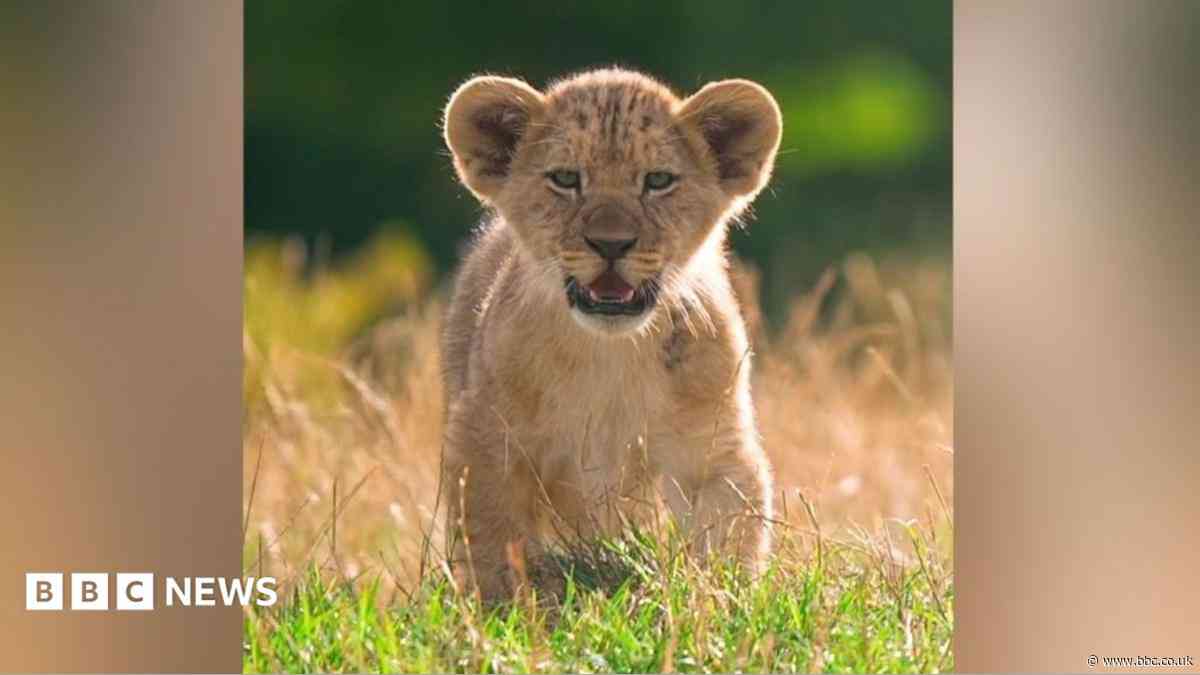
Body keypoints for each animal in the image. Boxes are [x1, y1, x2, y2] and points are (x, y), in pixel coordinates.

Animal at [440, 68, 781, 601]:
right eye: (565, 179)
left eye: (658, 181)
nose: (611, 244)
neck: (611, 353)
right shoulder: (483, 440)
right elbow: (495, 544)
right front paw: (510, 608)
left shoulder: (714, 446)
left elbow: (725, 535)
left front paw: (713, 601)